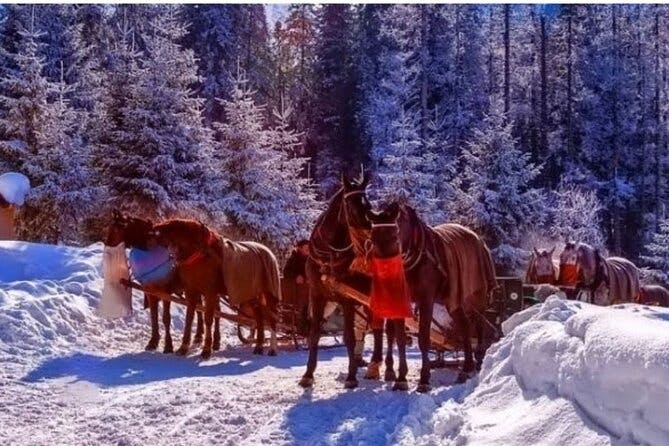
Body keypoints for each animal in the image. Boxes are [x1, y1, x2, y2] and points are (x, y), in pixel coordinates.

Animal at [149, 220, 280, 358]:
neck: (199, 253)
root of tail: (269, 252)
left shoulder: (210, 292)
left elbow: (208, 319)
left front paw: (206, 349)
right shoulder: (191, 291)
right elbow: (189, 318)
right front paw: (183, 347)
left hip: (269, 293)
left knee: (272, 318)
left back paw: (272, 348)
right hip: (250, 294)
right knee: (259, 318)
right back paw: (259, 346)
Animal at [298, 172, 386, 388]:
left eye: (368, 203)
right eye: (351, 204)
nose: (370, 232)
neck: (329, 255)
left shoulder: (347, 300)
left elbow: (349, 337)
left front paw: (351, 376)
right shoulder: (317, 295)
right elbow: (314, 334)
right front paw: (308, 374)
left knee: (382, 328)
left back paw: (378, 365)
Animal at [344, 188, 496, 390]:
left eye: (395, 235)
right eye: (372, 238)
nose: (384, 274)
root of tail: (478, 239)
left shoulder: (426, 300)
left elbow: (424, 338)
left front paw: (424, 379)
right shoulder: (400, 299)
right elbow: (400, 339)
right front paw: (401, 378)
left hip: (475, 297)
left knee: (478, 325)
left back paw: (478, 360)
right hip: (453, 301)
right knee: (464, 326)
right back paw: (466, 368)